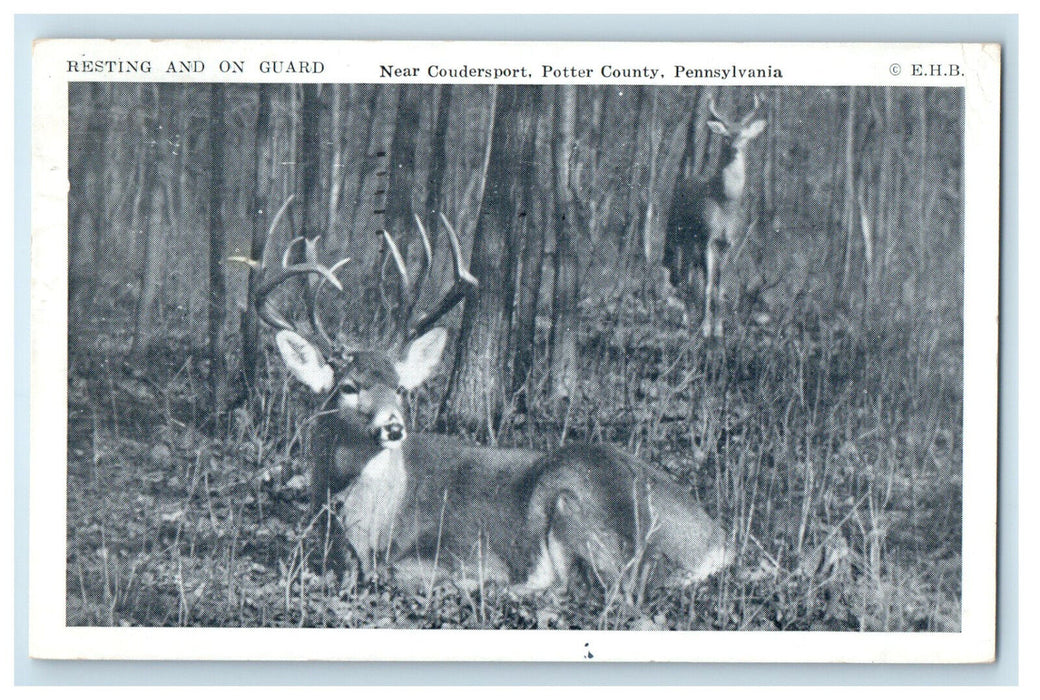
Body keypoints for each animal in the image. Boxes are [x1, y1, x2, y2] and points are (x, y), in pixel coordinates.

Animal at [250, 205, 734, 601]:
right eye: (349, 386)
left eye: (400, 387)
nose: (393, 426)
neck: (368, 525)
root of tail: (716, 541)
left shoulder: (464, 548)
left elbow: (397, 571)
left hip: (576, 497)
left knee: (600, 589)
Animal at [663, 94, 767, 338]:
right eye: (727, 136)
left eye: (744, 136)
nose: (736, 148)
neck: (725, 203)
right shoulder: (706, 238)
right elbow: (709, 286)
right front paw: (706, 328)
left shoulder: (729, 243)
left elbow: (720, 287)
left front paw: (719, 329)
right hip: (679, 235)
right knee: (684, 277)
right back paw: (687, 321)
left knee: (691, 277)